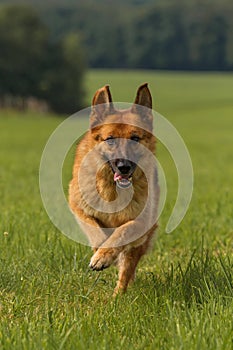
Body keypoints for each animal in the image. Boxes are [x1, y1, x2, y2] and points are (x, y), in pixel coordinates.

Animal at [69, 85, 159, 296]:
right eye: (110, 140)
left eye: (135, 138)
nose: (123, 167)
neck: (113, 190)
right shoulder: (77, 207)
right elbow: (94, 229)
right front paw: (100, 252)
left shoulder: (141, 222)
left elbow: (123, 232)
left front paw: (104, 255)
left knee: (126, 271)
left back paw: (117, 296)